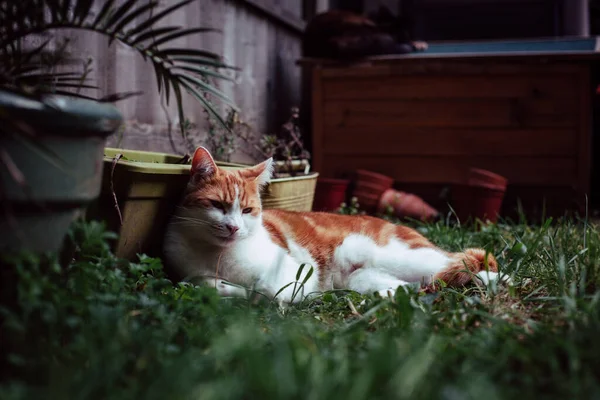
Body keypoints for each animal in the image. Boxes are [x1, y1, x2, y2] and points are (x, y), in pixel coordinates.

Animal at [163, 147, 506, 304]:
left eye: (247, 210)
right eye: (218, 206)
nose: (234, 228)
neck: (220, 257)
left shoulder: (291, 274)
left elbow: (267, 289)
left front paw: (248, 292)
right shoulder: (185, 268)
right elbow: (202, 282)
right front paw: (223, 288)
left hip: (395, 254)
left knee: (469, 262)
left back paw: (490, 279)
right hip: (365, 280)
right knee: (406, 286)